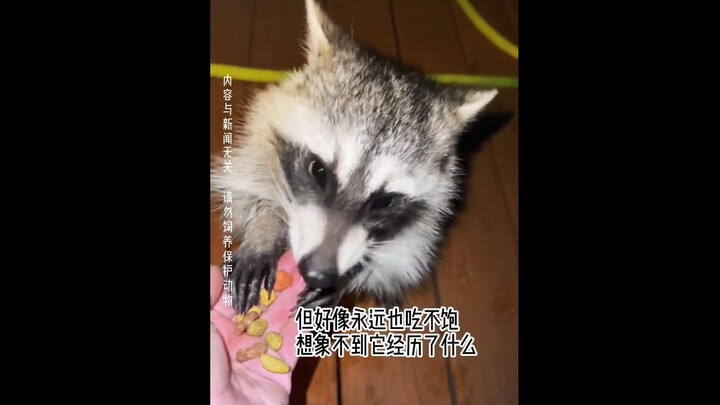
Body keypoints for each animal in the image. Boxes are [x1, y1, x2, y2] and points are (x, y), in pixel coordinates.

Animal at [211, 0, 498, 314]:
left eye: (385, 200)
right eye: (318, 170)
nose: (318, 274)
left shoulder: (435, 205)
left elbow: (404, 251)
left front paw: (351, 275)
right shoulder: (262, 135)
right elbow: (253, 188)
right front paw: (264, 230)